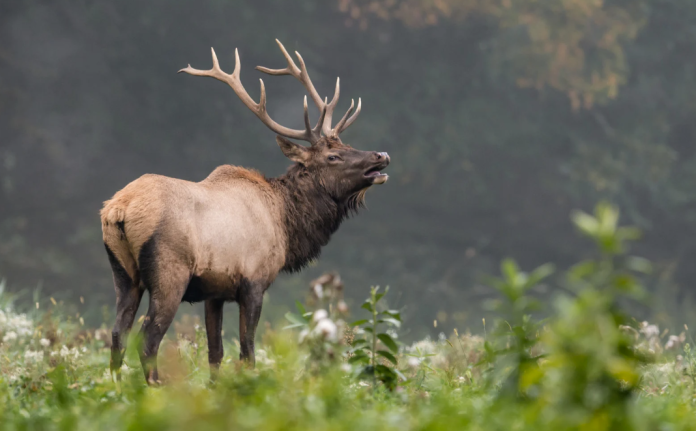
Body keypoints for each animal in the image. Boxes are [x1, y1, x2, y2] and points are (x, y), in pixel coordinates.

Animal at [100, 40, 390, 385]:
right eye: (333, 156)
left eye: (347, 144)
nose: (381, 155)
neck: (286, 223)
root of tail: (118, 209)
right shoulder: (253, 281)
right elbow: (247, 352)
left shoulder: (214, 291)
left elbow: (215, 353)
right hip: (169, 272)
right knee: (147, 339)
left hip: (124, 273)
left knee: (117, 334)